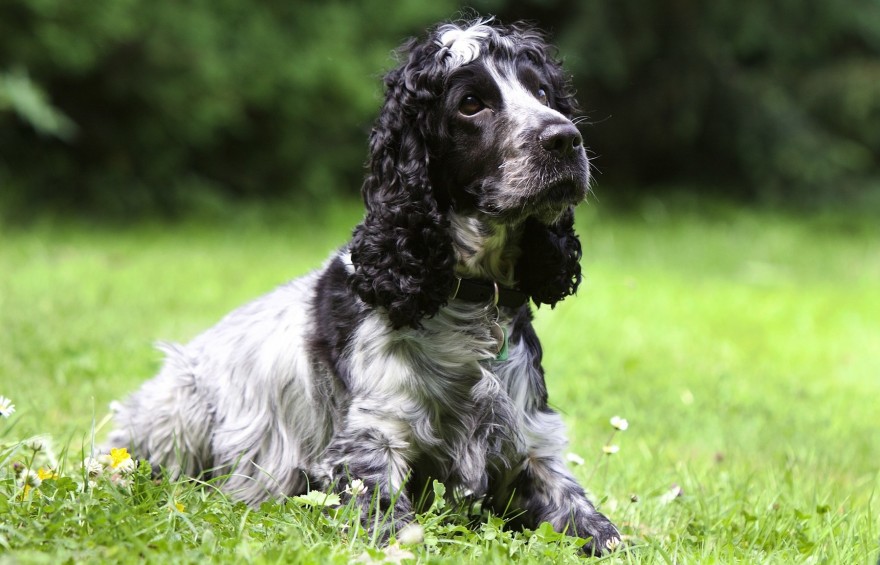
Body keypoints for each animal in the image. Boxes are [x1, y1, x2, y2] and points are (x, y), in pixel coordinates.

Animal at [108, 17, 620, 556]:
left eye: (542, 92)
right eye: (470, 103)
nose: (565, 139)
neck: (467, 299)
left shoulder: (530, 444)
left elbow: (595, 525)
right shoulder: (370, 442)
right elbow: (392, 523)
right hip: (179, 408)